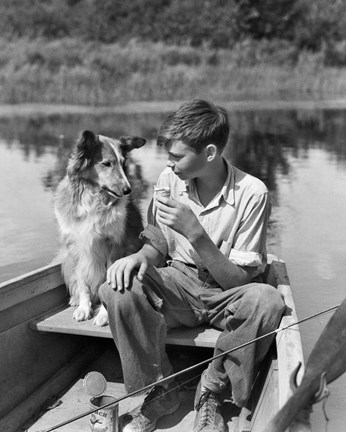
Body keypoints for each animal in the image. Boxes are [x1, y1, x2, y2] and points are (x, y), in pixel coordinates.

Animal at [54, 130, 146, 326]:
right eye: (106, 163)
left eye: (123, 163)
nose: (128, 190)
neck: (93, 199)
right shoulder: (76, 246)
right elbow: (82, 281)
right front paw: (84, 308)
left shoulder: (114, 246)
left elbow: (108, 280)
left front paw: (104, 314)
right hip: (66, 259)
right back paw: (75, 300)